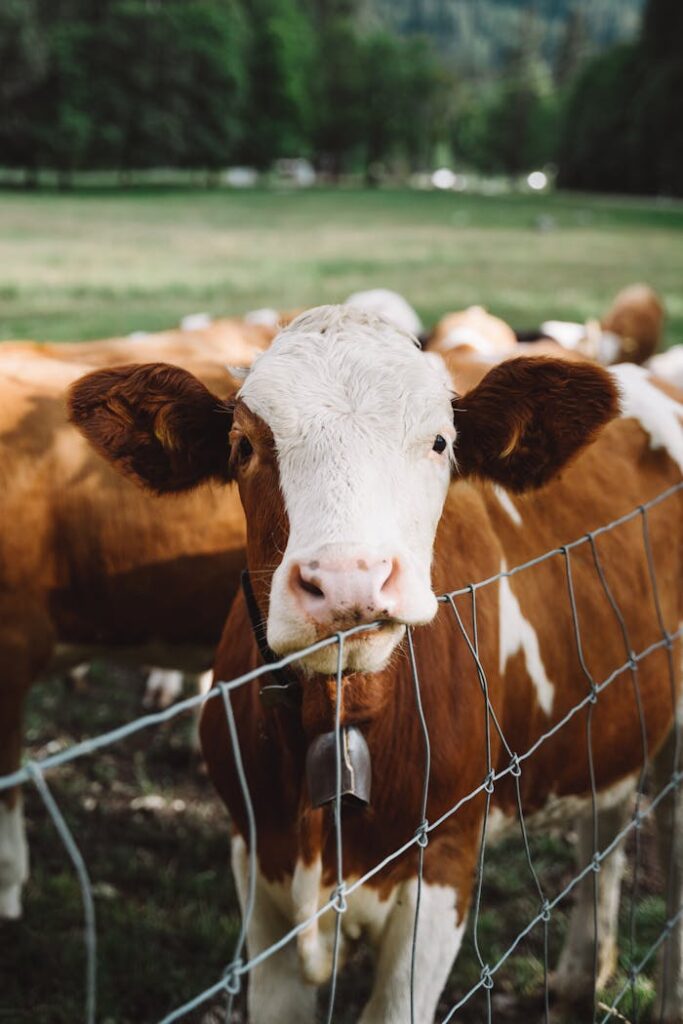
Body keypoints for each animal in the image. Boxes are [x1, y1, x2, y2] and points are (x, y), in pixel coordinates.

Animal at [69, 306, 683, 1022]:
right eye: (243, 446)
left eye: (441, 443)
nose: (346, 582)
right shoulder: (255, 862)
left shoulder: (442, 867)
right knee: (605, 824)